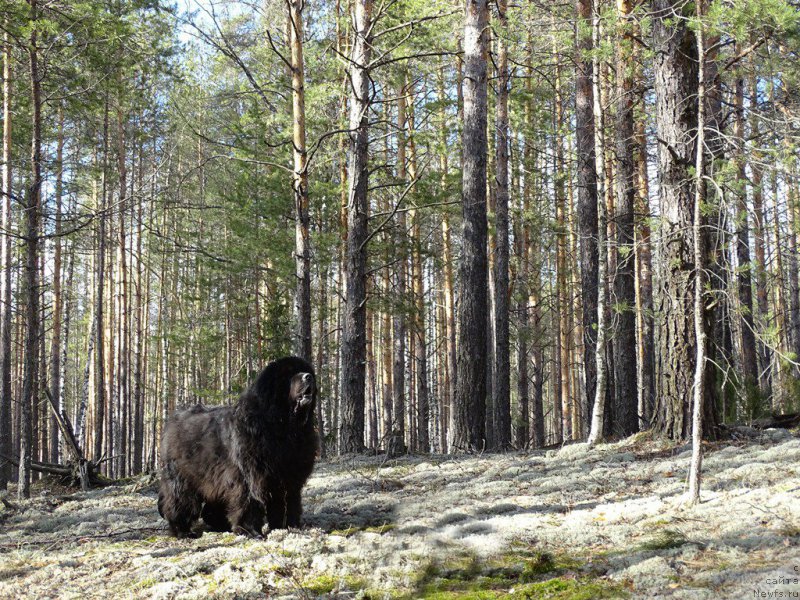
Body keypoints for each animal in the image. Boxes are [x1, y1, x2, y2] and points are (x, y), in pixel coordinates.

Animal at [156, 354, 318, 536]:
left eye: (304, 370)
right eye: (289, 374)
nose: (308, 377)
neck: (283, 426)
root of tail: (173, 418)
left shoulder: (289, 475)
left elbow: (288, 501)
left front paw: (288, 526)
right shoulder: (249, 474)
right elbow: (249, 500)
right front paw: (250, 531)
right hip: (183, 477)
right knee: (178, 502)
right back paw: (182, 531)